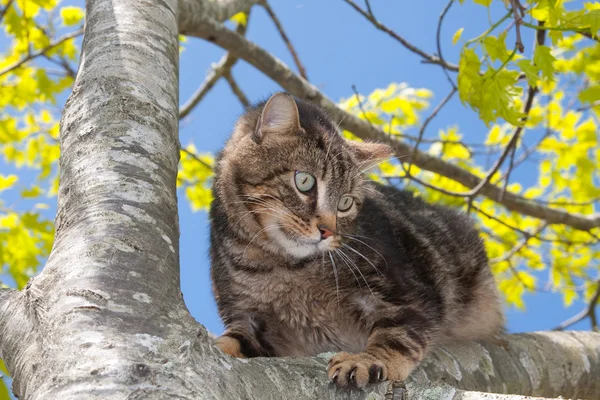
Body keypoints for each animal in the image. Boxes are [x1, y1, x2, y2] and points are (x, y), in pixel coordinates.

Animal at [209, 91, 504, 388]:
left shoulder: (413, 297)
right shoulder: (250, 319)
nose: (327, 231)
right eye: (304, 181)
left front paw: (367, 360)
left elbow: (396, 337)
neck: (281, 265)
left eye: (345, 203)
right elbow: (234, 340)